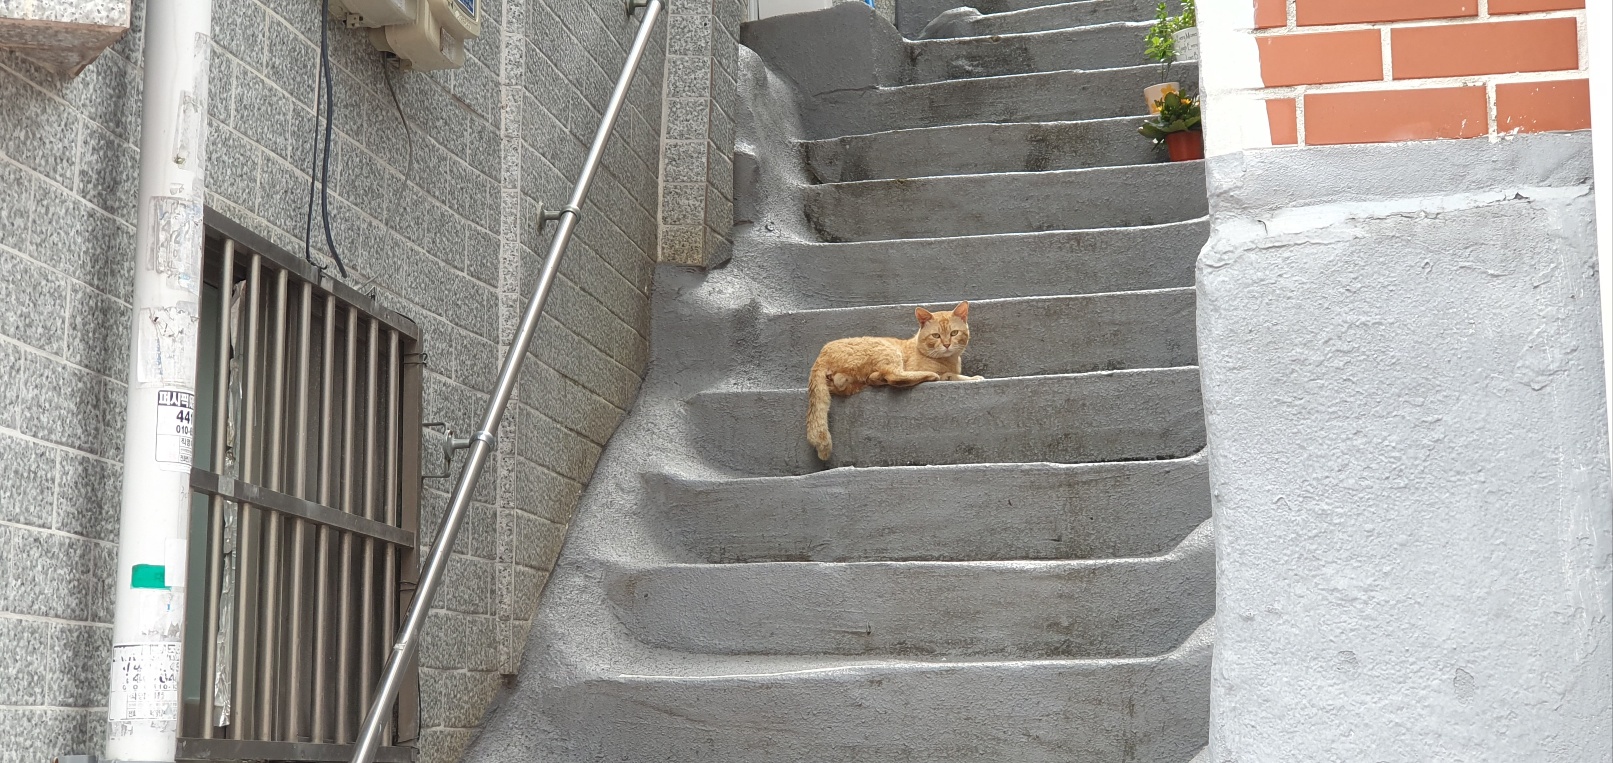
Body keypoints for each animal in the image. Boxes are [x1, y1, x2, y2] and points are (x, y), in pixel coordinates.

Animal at [806, 301, 980, 458]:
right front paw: (974, 378)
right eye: (936, 336)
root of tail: (822, 354)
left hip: (852, 381)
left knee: (845, 382)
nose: (946, 344)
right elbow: (954, 376)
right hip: (888, 350)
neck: (949, 360)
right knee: (894, 376)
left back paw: (875, 377)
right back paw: (927, 375)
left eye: (954, 333)